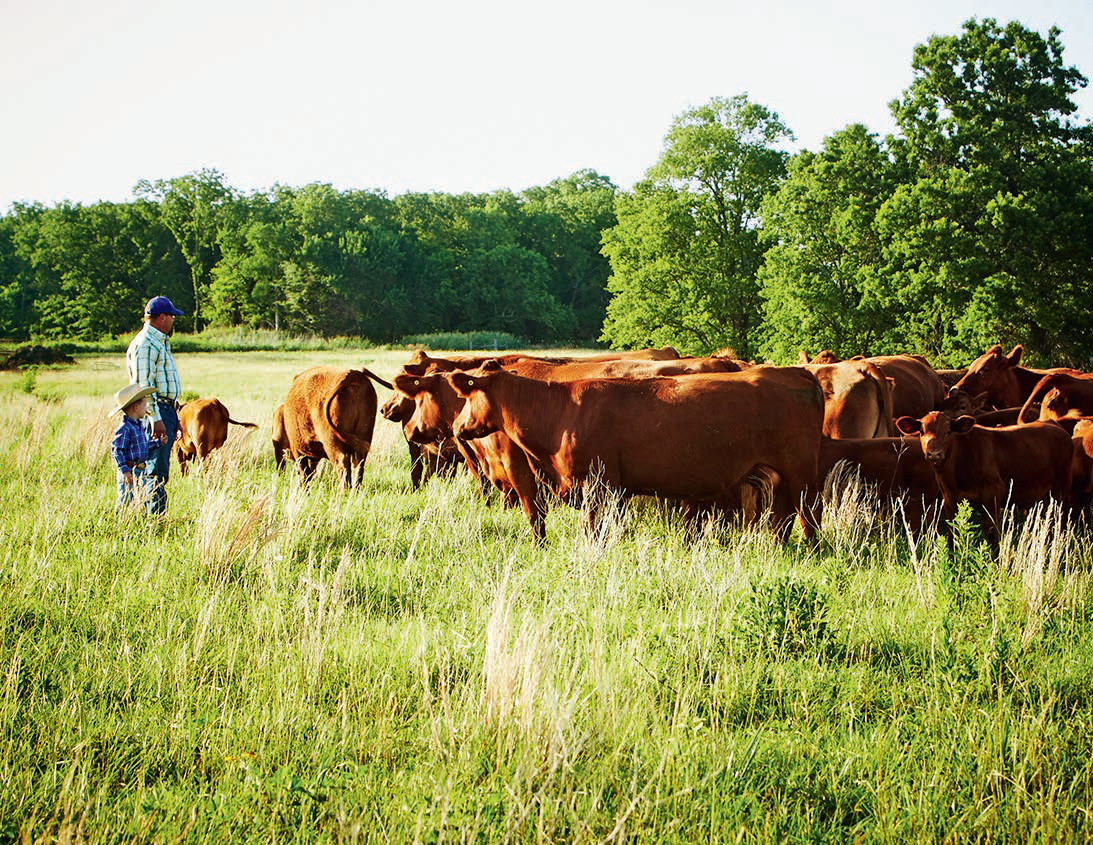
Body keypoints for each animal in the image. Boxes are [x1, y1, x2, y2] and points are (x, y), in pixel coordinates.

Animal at [448, 363, 826, 542]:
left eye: (467, 395)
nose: (456, 426)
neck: (561, 412)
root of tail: (797, 373)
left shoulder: (596, 484)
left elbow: (592, 530)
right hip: (775, 475)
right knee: (782, 517)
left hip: (801, 471)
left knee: (809, 513)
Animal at [895, 411, 1073, 546]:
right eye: (922, 431)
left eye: (948, 431)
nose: (934, 454)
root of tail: (1055, 425)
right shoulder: (949, 501)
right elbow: (952, 534)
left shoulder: (992, 497)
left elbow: (992, 535)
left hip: (1060, 492)